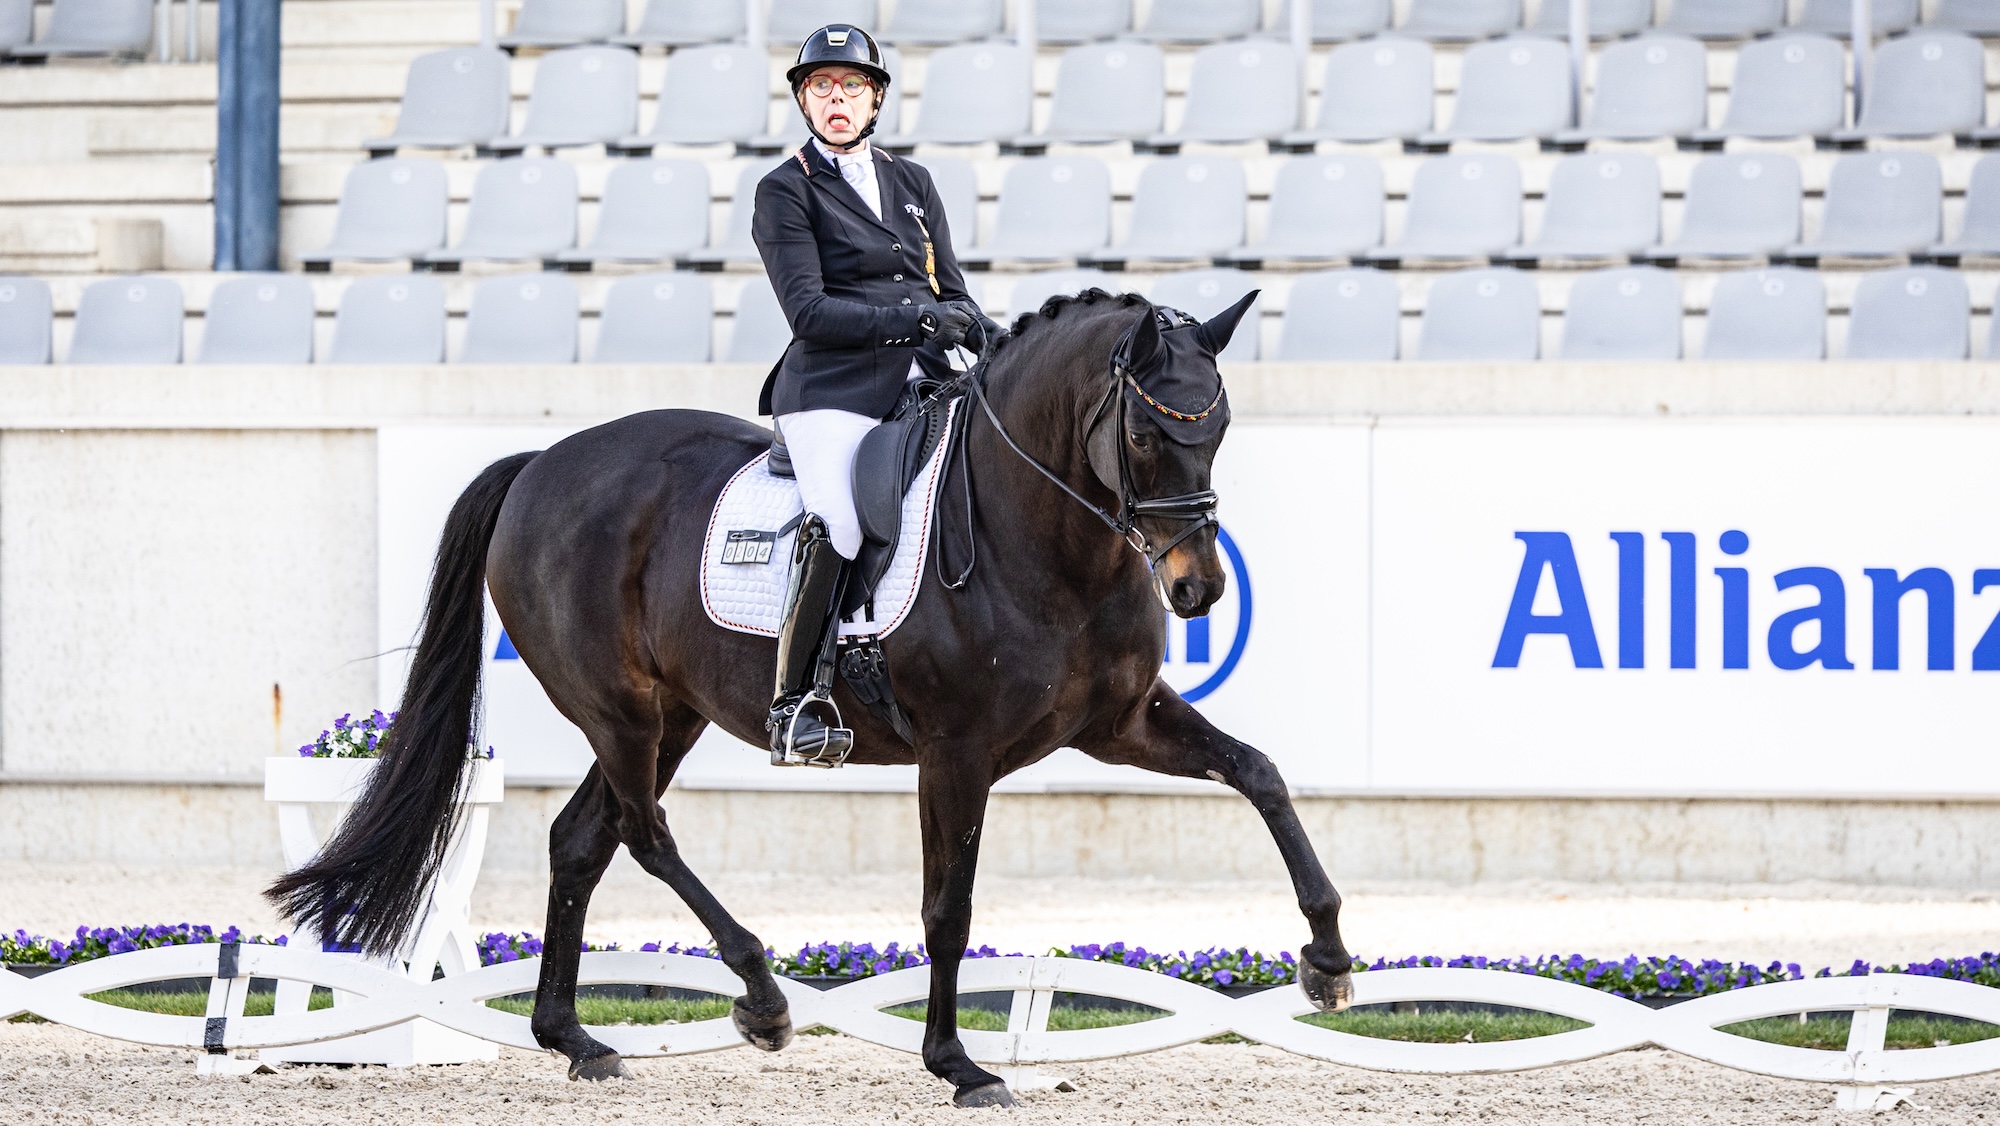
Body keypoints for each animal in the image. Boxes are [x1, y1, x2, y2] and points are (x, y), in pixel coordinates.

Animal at [268, 288, 1356, 1108]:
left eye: (1218, 426)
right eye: (1142, 431)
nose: (1197, 590)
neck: (1048, 537)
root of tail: (540, 464)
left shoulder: (1119, 725)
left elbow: (1260, 775)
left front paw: (1329, 959)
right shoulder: (956, 754)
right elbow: (948, 907)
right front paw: (957, 1066)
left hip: (673, 713)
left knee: (583, 838)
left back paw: (573, 1037)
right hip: (619, 710)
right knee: (644, 832)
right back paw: (758, 996)